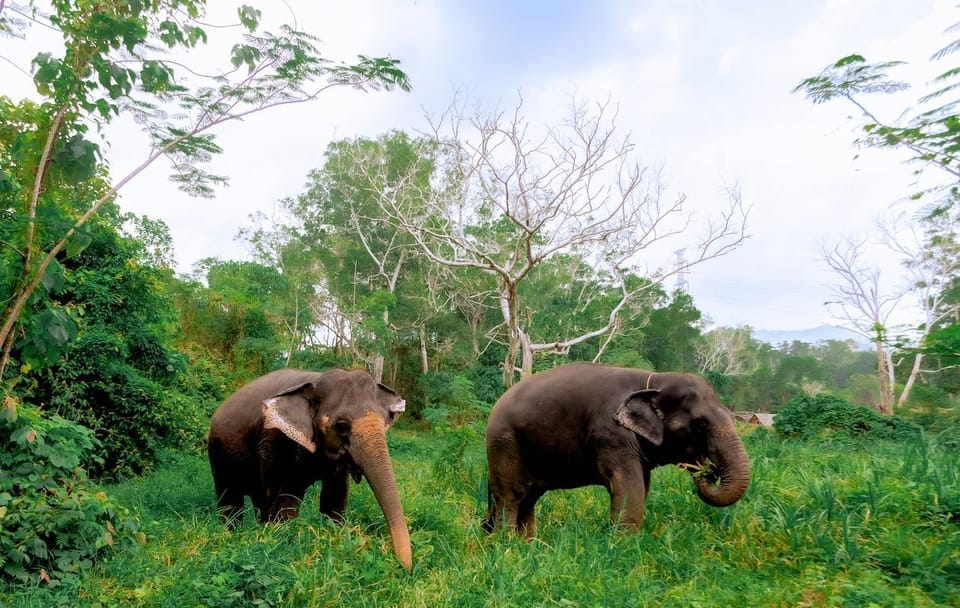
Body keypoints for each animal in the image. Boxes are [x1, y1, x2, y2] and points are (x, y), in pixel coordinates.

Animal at [207, 368, 412, 571]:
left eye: (384, 421)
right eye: (342, 426)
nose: (404, 568)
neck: (316, 380)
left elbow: (335, 497)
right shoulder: (276, 440)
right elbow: (287, 498)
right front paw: (283, 540)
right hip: (217, 453)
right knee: (231, 500)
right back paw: (232, 533)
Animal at [482, 363, 750, 537]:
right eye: (699, 424)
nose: (707, 471)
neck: (654, 380)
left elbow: (641, 487)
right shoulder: (611, 434)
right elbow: (629, 488)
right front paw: (623, 547)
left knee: (529, 498)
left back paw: (528, 545)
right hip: (504, 443)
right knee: (512, 497)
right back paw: (506, 546)